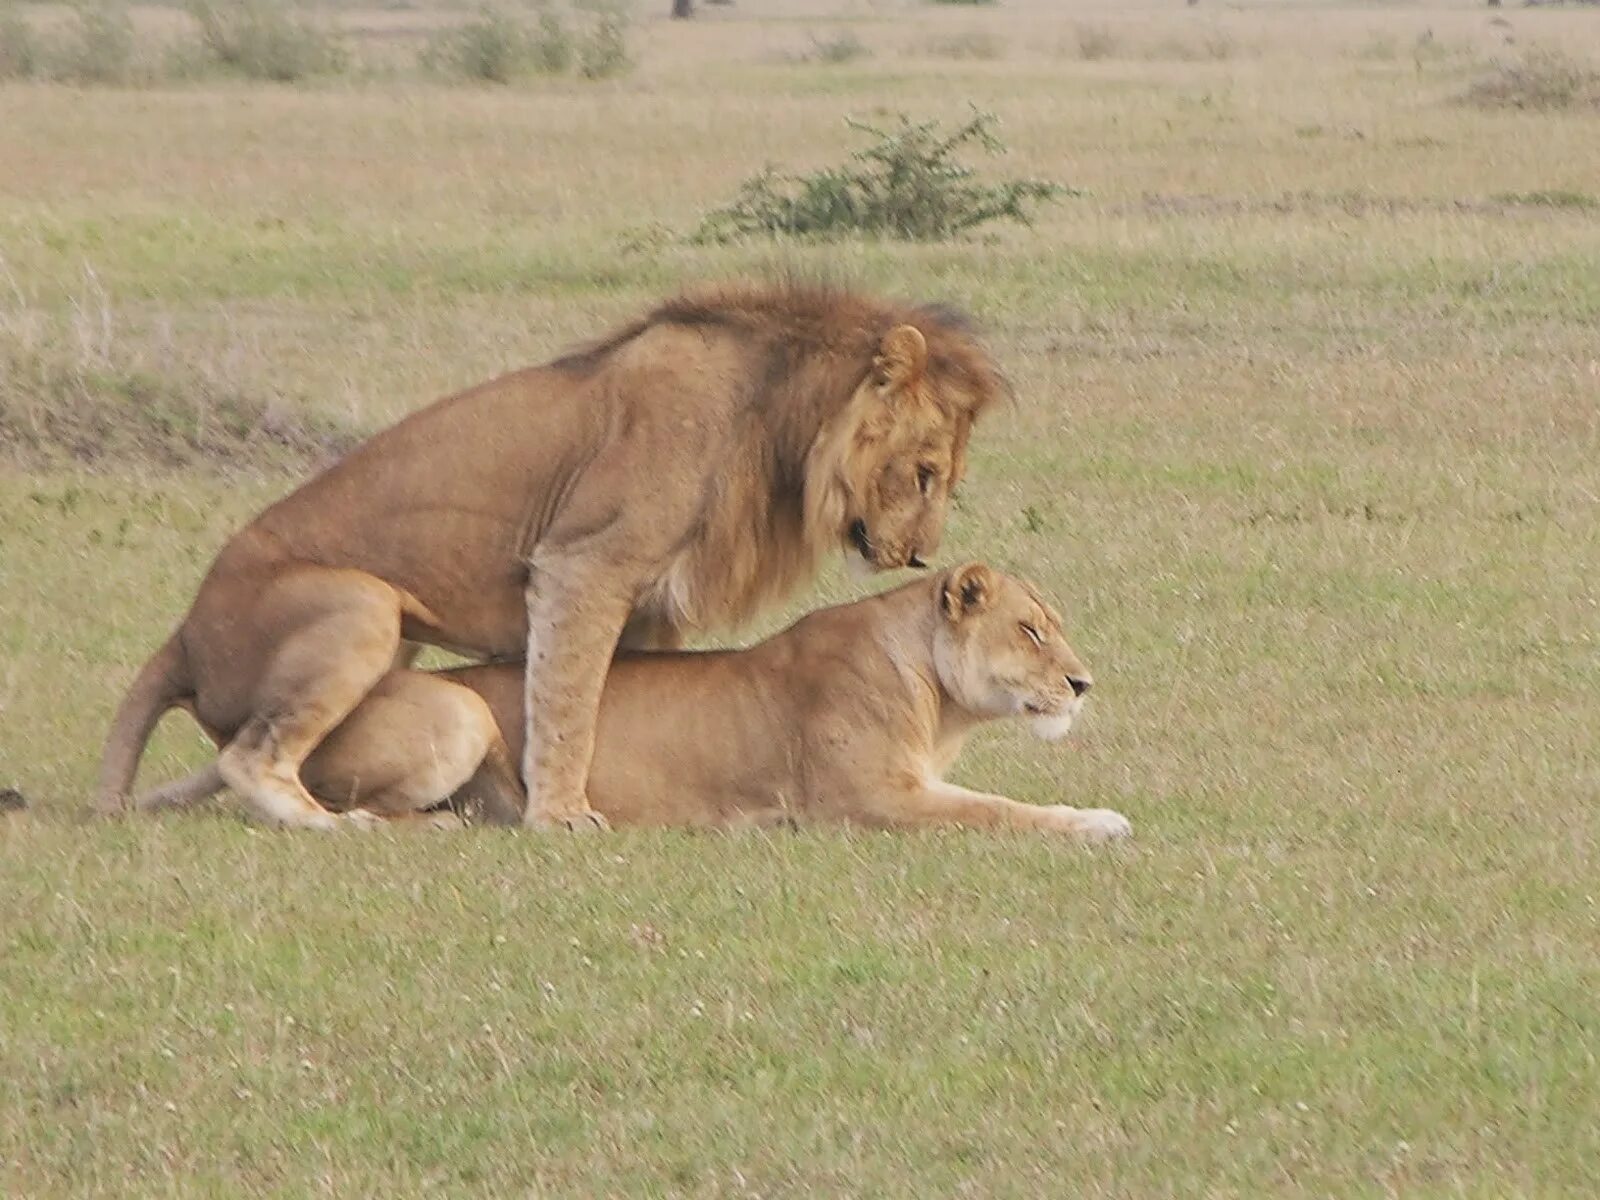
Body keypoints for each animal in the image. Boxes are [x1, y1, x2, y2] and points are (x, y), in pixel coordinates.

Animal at [96, 286, 998, 832]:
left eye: (948, 477)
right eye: (926, 472)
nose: (919, 557)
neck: (776, 426)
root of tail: (183, 637)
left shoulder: (649, 603)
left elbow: (609, 700)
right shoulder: (583, 564)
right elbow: (567, 700)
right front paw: (562, 816)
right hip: (363, 604)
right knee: (251, 756)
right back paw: (335, 824)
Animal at [144, 566, 1132, 838]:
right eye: (1031, 631)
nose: (1084, 684)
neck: (936, 689)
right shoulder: (873, 801)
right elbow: (1003, 811)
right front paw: (1096, 821)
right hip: (458, 713)